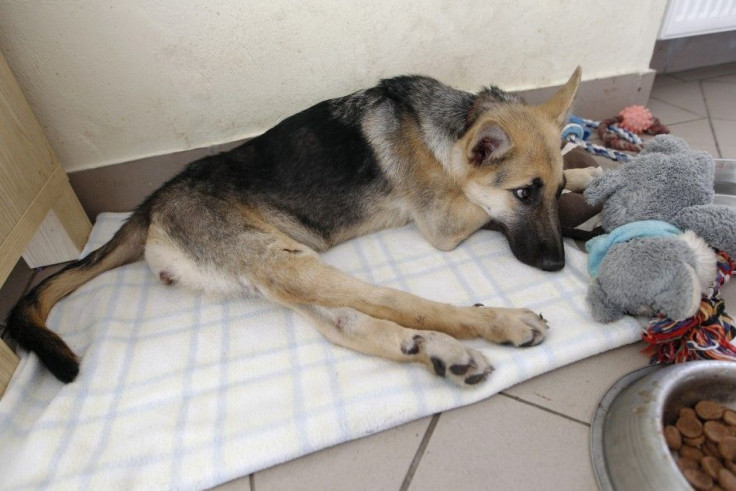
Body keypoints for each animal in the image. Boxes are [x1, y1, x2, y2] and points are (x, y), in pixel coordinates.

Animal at [4, 66, 592, 388]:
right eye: (523, 194)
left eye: (553, 191)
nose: (558, 265)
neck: (445, 127)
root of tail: (156, 199)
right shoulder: (445, 223)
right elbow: (478, 208)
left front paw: (590, 171)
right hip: (292, 264)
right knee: (398, 302)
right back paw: (496, 325)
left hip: (280, 273)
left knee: (348, 324)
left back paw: (438, 354)